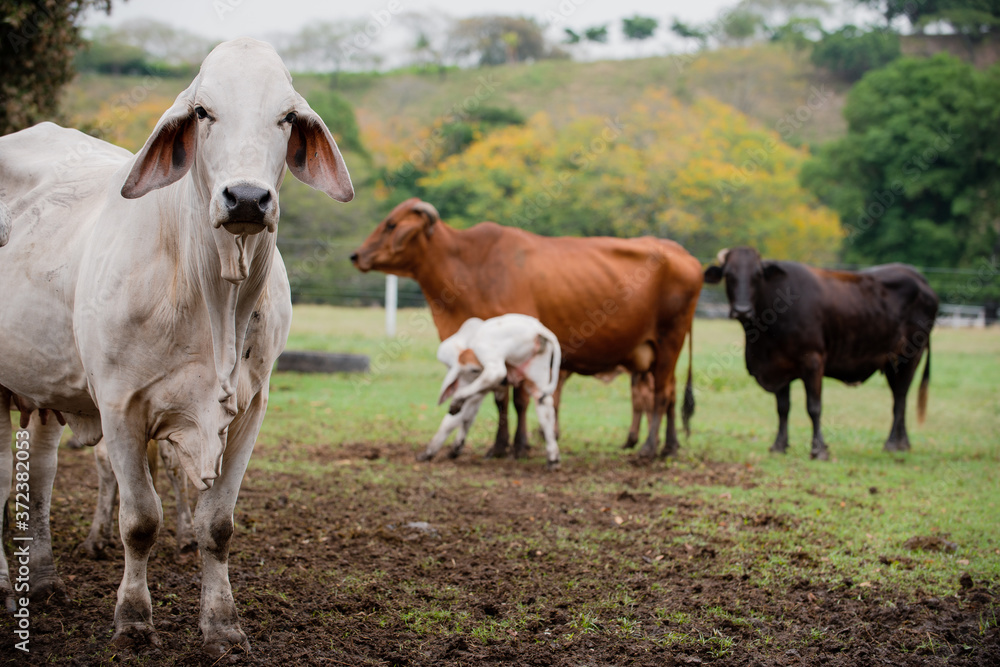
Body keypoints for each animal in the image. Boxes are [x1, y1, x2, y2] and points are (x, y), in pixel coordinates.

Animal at [0, 37, 352, 656]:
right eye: (203, 112)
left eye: (287, 117)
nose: (246, 198)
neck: (213, 296)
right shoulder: (120, 406)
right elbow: (140, 520)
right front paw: (134, 620)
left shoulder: (250, 409)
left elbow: (218, 525)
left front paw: (222, 624)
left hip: (43, 389)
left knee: (36, 476)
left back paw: (39, 581)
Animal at [418, 318, 568, 470]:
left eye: (473, 369)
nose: (504, 382)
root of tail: (538, 329)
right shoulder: (479, 392)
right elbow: (466, 417)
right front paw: (453, 448)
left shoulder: (474, 388)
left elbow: (454, 418)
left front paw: (430, 451)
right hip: (537, 373)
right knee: (544, 406)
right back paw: (553, 459)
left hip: (488, 350)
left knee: (495, 373)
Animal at [704, 248, 936, 462]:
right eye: (729, 274)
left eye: (757, 275)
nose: (742, 310)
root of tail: (916, 275)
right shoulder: (779, 367)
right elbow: (783, 408)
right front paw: (779, 445)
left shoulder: (813, 361)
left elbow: (814, 407)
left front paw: (818, 449)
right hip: (891, 363)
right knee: (900, 397)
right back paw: (903, 444)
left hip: (910, 355)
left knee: (900, 398)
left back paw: (892, 444)